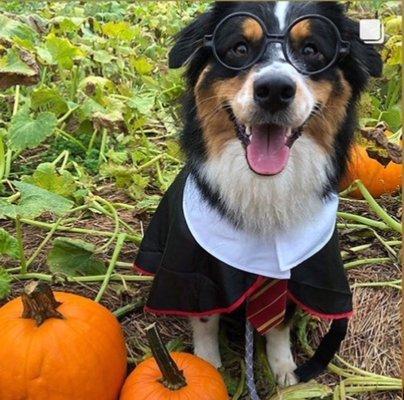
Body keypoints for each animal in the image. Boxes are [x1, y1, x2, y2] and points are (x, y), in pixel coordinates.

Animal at [135, 0, 382, 388]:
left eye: (311, 50)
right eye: (239, 48)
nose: (275, 90)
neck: (264, 187)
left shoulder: (300, 273)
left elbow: (278, 324)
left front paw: (283, 369)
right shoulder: (197, 272)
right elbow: (206, 320)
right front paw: (209, 367)